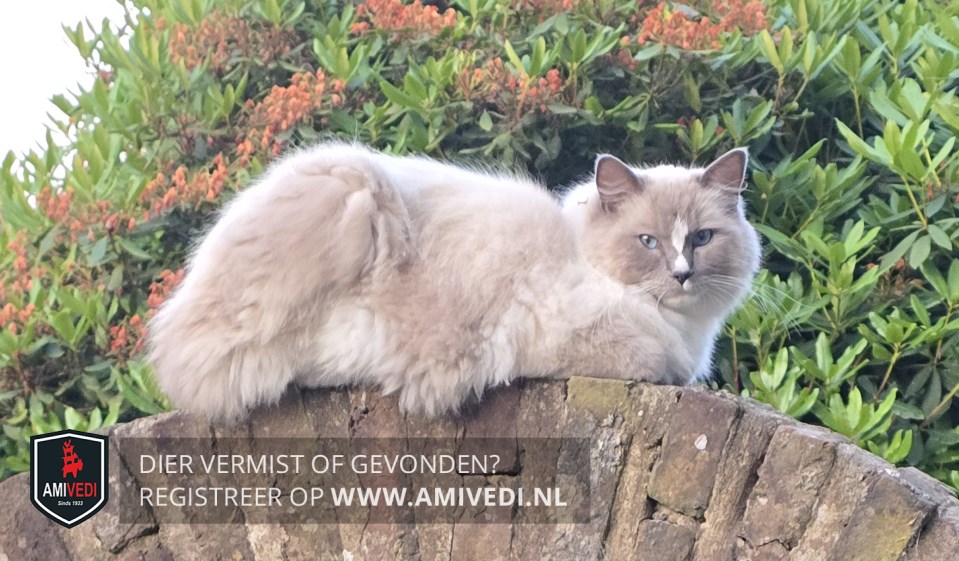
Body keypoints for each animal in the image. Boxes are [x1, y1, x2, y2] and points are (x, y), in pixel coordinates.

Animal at [147, 143, 761, 421]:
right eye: (649, 242)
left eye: (702, 238)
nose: (682, 274)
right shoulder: (586, 335)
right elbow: (658, 362)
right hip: (354, 193)